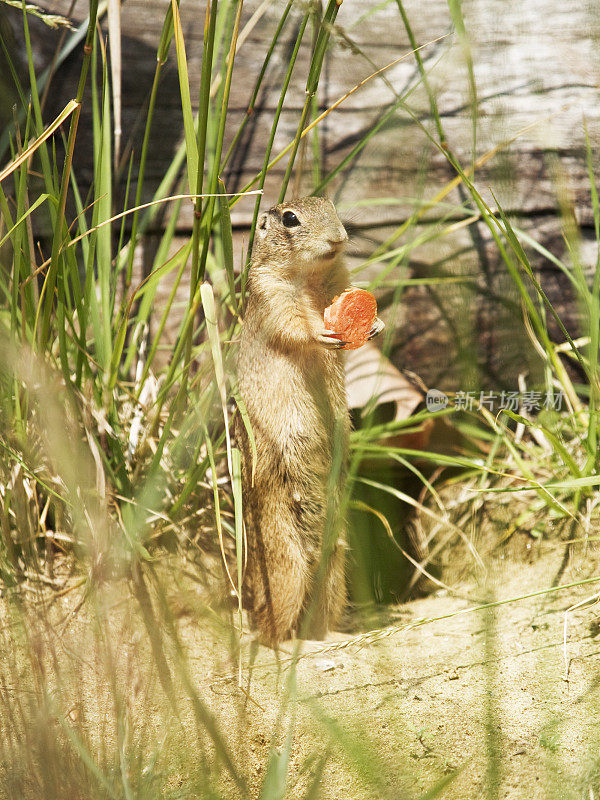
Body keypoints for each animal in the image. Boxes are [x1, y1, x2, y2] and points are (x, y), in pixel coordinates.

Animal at [236, 197, 382, 648]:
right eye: (290, 219)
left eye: (332, 205)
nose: (338, 237)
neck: (311, 280)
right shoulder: (272, 297)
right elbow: (295, 326)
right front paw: (323, 334)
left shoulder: (340, 281)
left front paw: (375, 323)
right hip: (288, 569)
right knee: (272, 629)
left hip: (333, 574)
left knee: (316, 618)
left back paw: (328, 638)